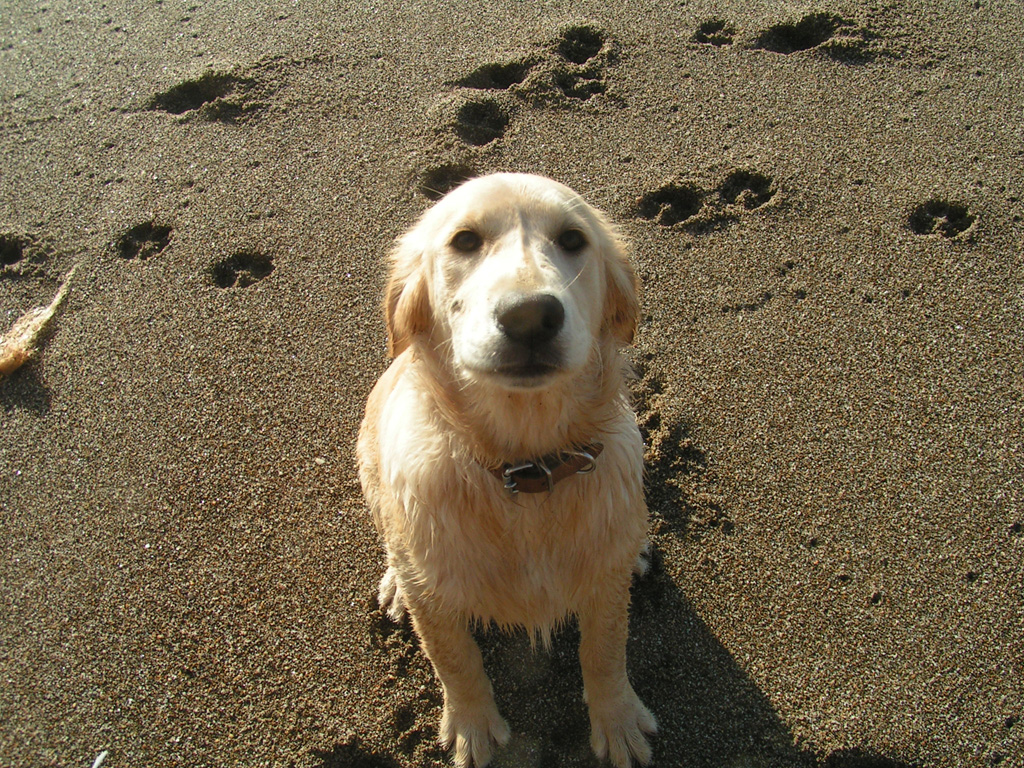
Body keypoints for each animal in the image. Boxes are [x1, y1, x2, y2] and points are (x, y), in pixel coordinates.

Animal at [356, 174, 651, 768]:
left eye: (572, 239)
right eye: (465, 240)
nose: (529, 316)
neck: (525, 468)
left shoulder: (604, 589)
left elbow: (605, 649)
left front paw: (618, 719)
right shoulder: (434, 601)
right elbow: (453, 657)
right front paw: (472, 725)